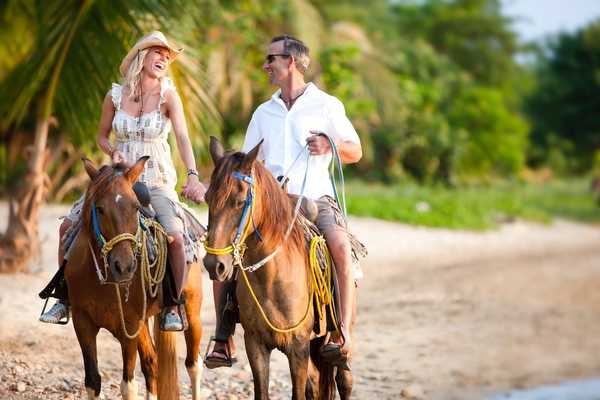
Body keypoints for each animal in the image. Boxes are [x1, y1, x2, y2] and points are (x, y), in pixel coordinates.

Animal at [63, 158, 204, 398]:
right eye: (99, 209)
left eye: (136, 207)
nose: (124, 267)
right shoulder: (83, 324)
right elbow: (92, 380)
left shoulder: (128, 328)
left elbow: (128, 386)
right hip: (143, 323)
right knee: (152, 363)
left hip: (192, 313)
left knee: (193, 364)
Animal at [204, 136, 354, 398]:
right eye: (206, 199)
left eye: (240, 201)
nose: (214, 265)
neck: (271, 279)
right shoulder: (256, 345)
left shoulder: (298, 347)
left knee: (344, 381)